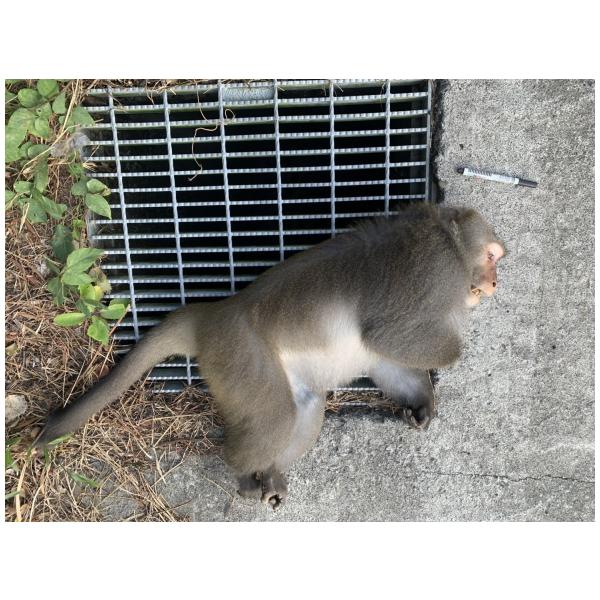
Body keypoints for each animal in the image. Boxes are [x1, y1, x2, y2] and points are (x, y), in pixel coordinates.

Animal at [35, 203, 504, 510]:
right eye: (492, 257)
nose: (495, 283)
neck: (449, 240)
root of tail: (216, 313)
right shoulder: (435, 270)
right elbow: (389, 336)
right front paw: (457, 353)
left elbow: (383, 358)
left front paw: (422, 404)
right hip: (242, 354)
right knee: (276, 415)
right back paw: (242, 471)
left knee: (305, 409)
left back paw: (271, 471)